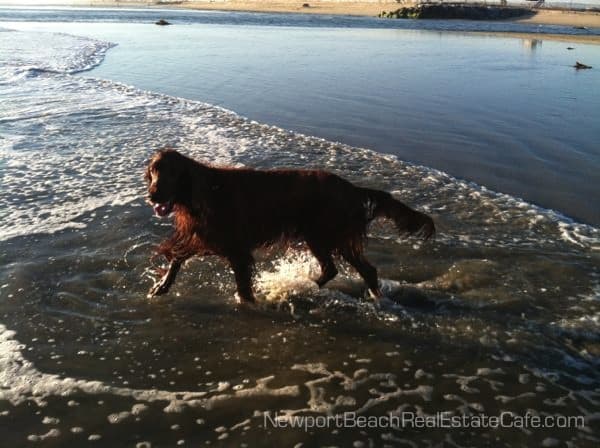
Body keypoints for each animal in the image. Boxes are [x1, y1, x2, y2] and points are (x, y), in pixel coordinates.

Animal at [146, 150, 436, 300]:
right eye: (153, 171)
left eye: (171, 172)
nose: (152, 195)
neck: (204, 191)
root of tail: (352, 188)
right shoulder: (205, 237)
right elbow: (177, 258)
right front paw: (162, 286)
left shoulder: (236, 249)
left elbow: (243, 288)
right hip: (328, 236)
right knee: (355, 270)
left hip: (323, 234)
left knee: (343, 269)